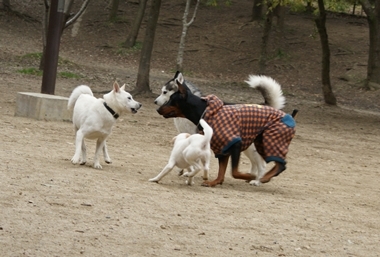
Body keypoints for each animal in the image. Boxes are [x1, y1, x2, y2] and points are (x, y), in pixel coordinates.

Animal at [157, 73, 296, 186]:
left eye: (167, 94)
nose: (156, 106)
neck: (203, 110)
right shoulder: (221, 148)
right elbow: (221, 171)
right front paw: (212, 181)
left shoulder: (233, 144)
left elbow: (233, 171)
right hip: (257, 144)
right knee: (265, 164)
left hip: (264, 144)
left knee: (271, 165)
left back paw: (258, 179)